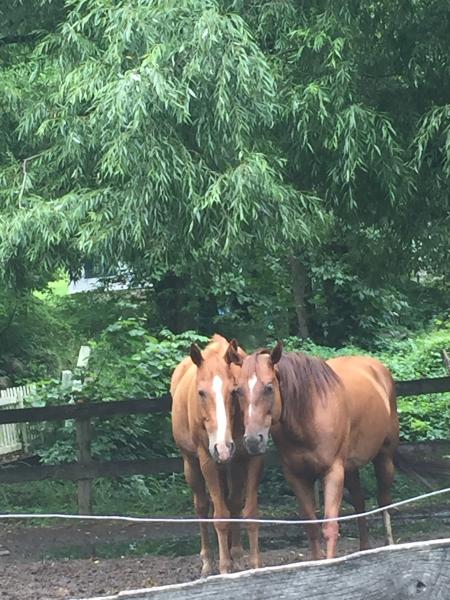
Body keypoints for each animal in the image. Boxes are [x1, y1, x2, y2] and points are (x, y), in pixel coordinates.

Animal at [171, 336, 264, 576]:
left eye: (233, 391)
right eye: (201, 393)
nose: (222, 447)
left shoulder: (248, 458)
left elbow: (247, 511)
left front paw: (252, 564)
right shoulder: (207, 460)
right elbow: (220, 517)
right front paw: (223, 568)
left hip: (231, 465)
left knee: (232, 503)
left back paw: (236, 555)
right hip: (191, 464)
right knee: (203, 506)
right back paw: (208, 562)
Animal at [234, 344, 400, 560]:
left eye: (269, 387)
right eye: (238, 390)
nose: (253, 440)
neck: (308, 416)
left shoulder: (333, 472)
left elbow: (329, 527)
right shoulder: (296, 476)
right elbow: (311, 527)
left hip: (384, 457)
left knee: (383, 500)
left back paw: (389, 544)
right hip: (351, 468)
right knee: (359, 503)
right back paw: (364, 548)